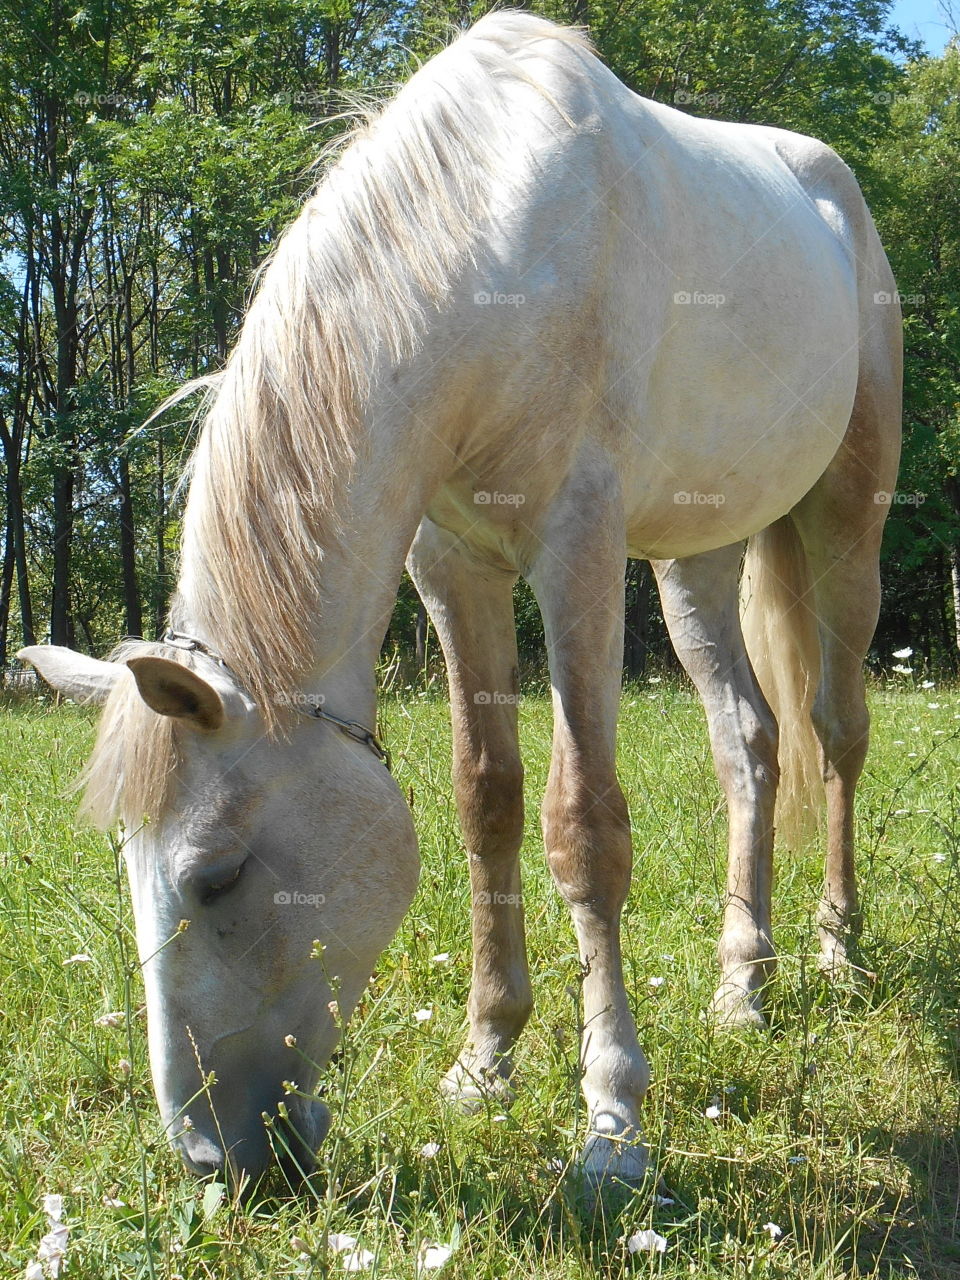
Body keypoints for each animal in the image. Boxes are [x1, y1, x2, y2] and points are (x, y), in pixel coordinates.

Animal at [18, 12, 901, 1187]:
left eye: (215, 875)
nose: (213, 1157)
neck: (488, 246)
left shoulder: (576, 547)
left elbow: (584, 827)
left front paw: (611, 1121)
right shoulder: (455, 566)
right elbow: (488, 801)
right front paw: (485, 1062)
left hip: (850, 518)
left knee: (837, 729)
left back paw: (838, 949)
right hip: (696, 559)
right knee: (748, 744)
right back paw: (741, 986)